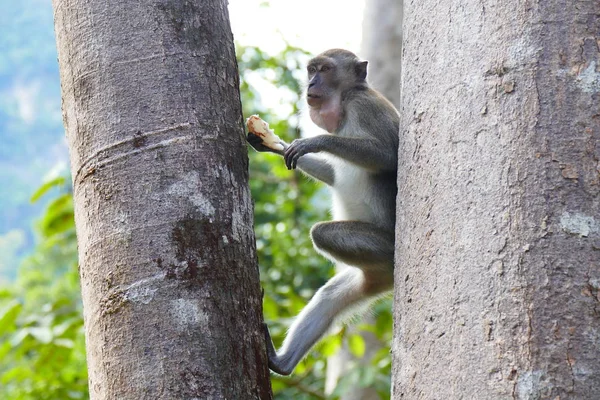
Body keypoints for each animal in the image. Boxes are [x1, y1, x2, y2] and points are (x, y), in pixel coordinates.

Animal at [246, 48, 400, 376]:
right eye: (311, 70)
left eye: (326, 70)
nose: (311, 83)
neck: (344, 101)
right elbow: (331, 174)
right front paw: (272, 143)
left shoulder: (364, 106)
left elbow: (388, 154)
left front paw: (313, 142)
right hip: (372, 277)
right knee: (332, 297)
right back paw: (281, 363)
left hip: (388, 244)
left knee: (322, 234)